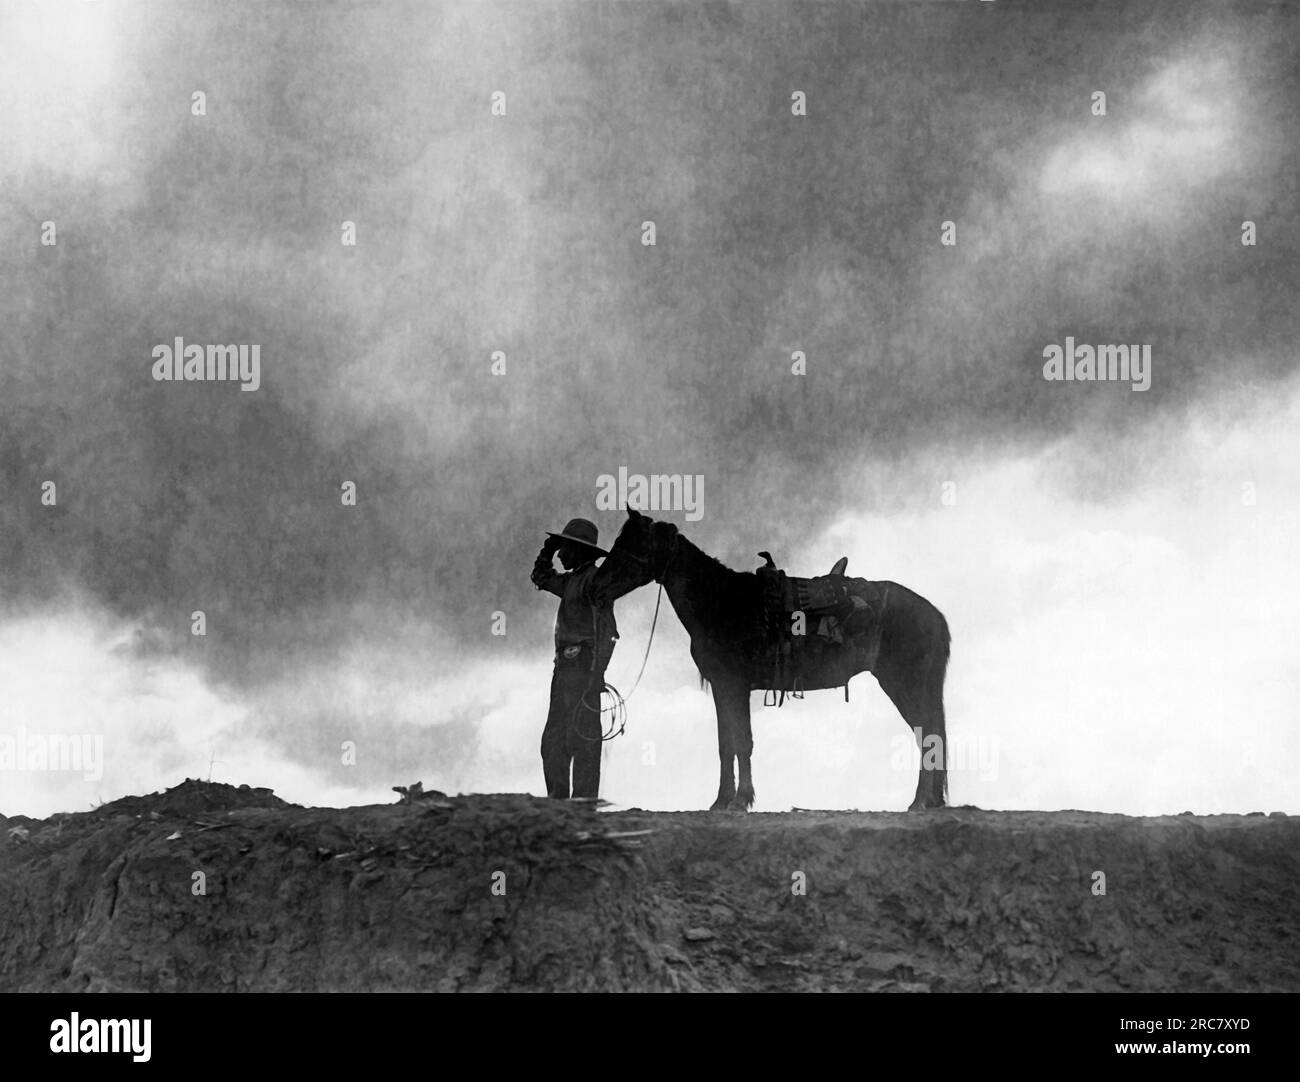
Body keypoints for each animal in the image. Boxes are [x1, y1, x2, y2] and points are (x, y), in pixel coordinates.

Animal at [608, 509, 956, 811]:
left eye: (633, 544)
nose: (600, 583)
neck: (722, 602)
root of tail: (934, 614)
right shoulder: (726, 688)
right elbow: (727, 742)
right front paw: (724, 800)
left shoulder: (732, 686)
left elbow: (740, 742)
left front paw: (738, 800)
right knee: (929, 735)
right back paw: (928, 800)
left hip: (904, 684)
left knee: (927, 734)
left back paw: (921, 801)